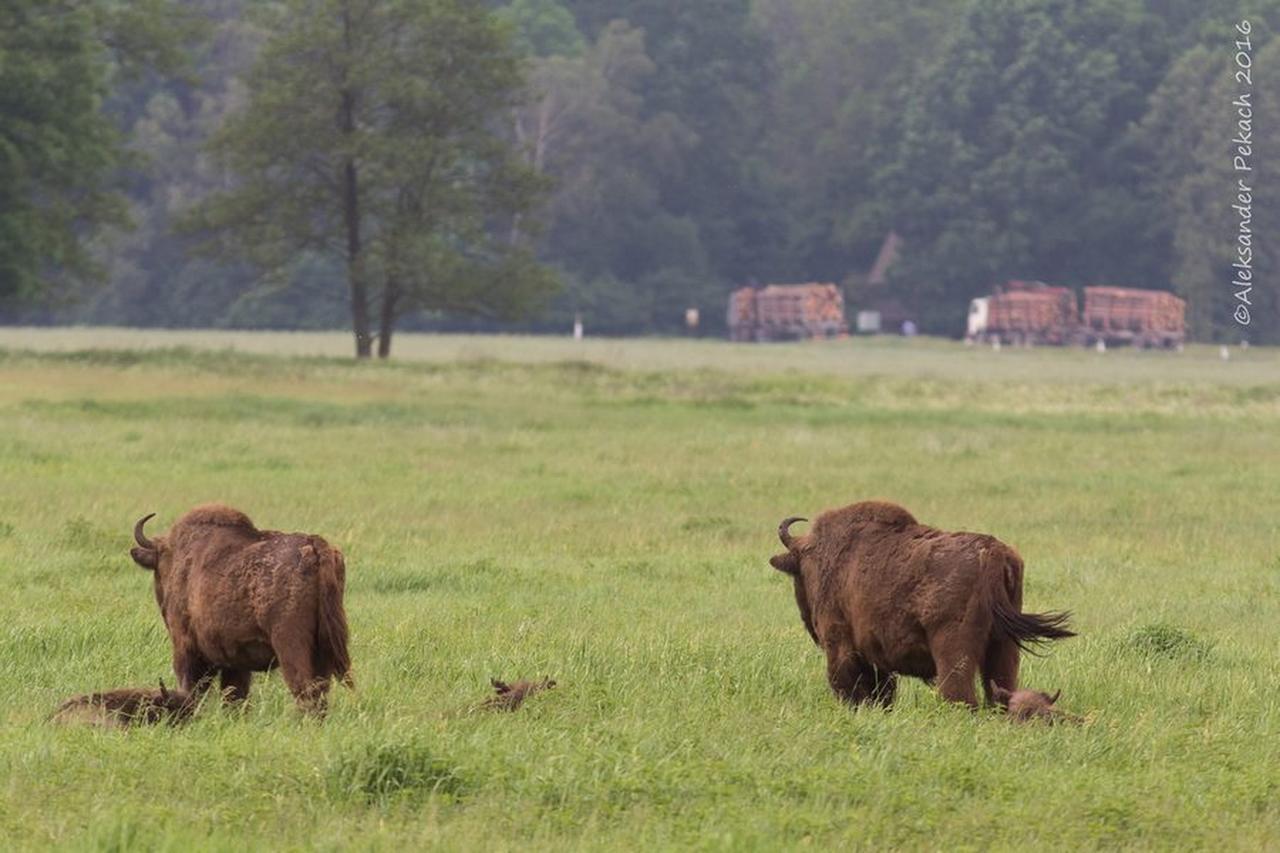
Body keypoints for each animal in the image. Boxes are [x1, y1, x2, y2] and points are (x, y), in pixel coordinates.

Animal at [130, 502, 353, 712]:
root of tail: (315, 545)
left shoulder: (186, 648)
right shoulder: (235, 663)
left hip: (291, 647)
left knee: (305, 692)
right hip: (323, 650)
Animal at [762, 502, 1075, 706]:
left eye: (799, 574)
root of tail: (995, 554)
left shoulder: (839, 643)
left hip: (954, 652)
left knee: (961, 697)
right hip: (1004, 648)